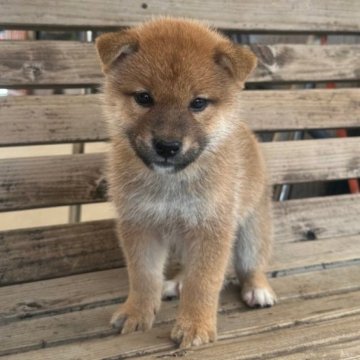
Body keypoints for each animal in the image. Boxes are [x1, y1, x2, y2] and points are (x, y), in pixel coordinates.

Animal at [95, 16, 276, 348]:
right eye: (144, 98)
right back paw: (175, 283)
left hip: (251, 231)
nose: (167, 146)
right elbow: (143, 276)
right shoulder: (140, 226)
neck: (171, 183)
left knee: (252, 264)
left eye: (198, 103)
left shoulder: (212, 229)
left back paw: (258, 289)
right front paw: (137, 313)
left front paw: (195, 326)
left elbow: (203, 282)